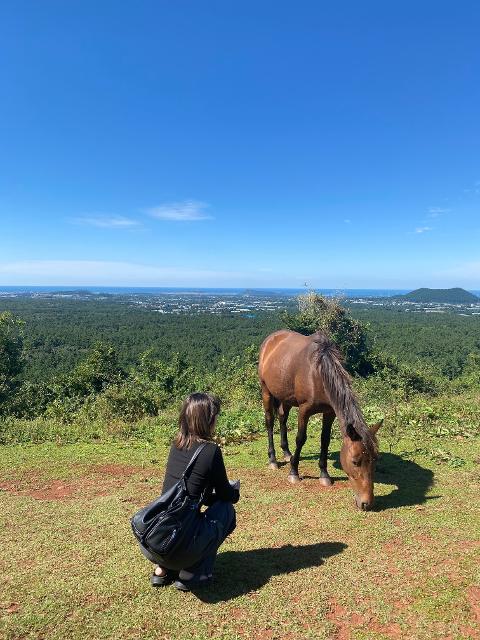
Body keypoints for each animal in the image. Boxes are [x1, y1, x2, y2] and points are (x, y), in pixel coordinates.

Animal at [258, 330, 382, 510]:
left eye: (374, 460)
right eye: (355, 462)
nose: (367, 503)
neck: (318, 373)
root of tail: (271, 339)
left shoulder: (329, 412)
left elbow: (325, 440)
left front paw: (324, 474)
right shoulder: (304, 410)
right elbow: (300, 439)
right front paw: (294, 472)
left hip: (285, 397)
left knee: (282, 418)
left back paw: (287, 453)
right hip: (266, 391)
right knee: (269, 421)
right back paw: (273, 459)